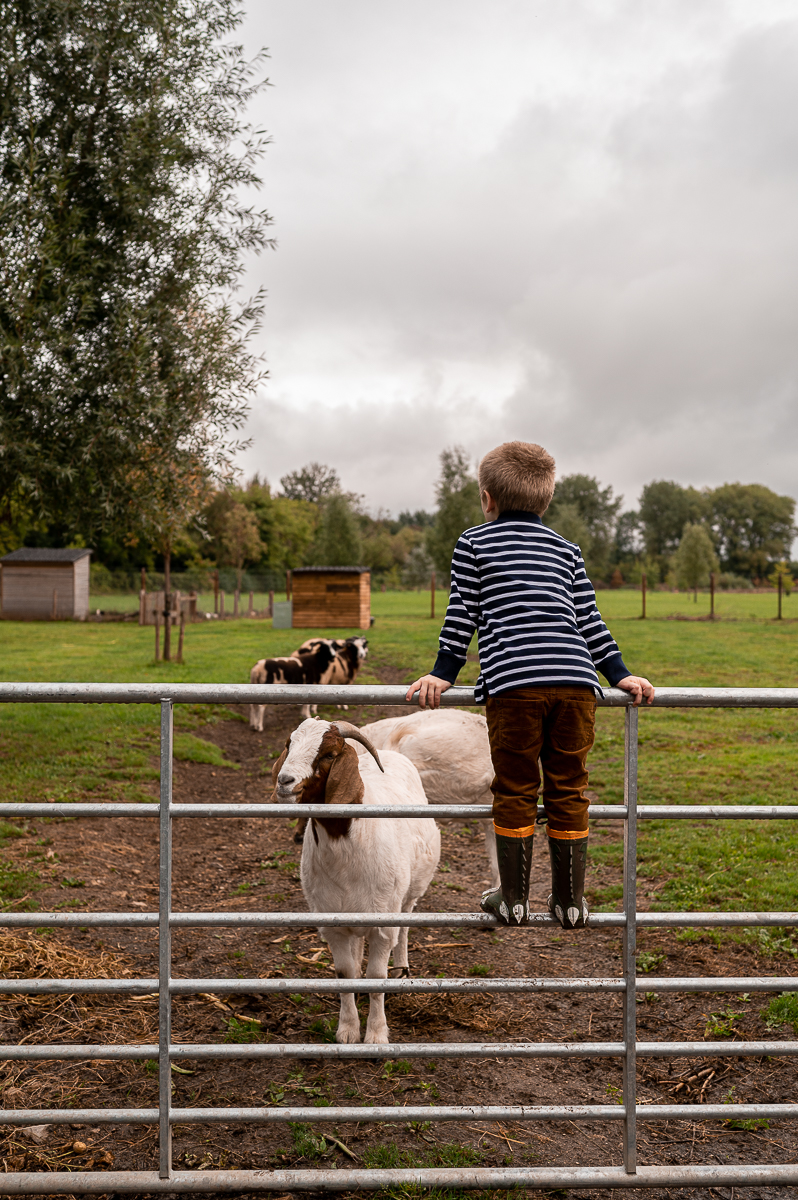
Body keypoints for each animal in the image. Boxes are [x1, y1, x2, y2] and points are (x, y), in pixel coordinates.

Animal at [271, 715, 439, 1046]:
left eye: (328, 754)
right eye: (289, 744)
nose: (285, 781)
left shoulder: (382, 924)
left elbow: (377, 977)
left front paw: (376, 1034)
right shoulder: (332, 923)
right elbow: (344, 973)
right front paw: (348, 1029)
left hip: (409, 893)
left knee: (405, 925)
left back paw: (401, 968)